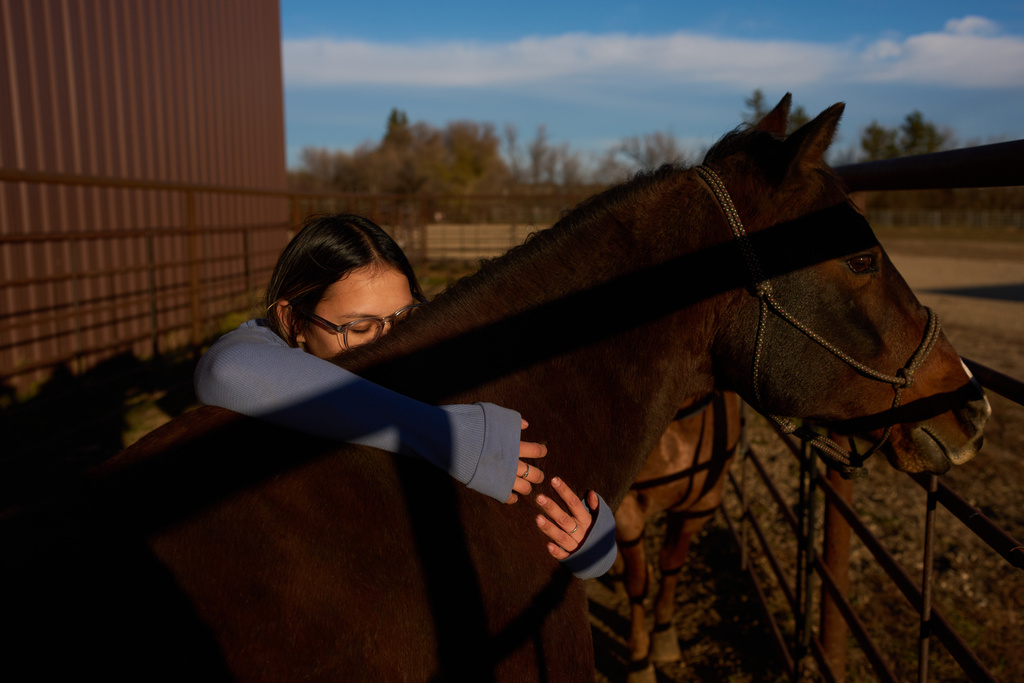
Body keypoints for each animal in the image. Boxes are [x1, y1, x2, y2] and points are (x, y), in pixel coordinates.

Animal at [613, 391, 741, 682]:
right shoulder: (627, 512)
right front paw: (640, 660)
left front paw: (663, 634)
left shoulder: (698, 506)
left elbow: (670, 564)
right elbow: (638, 581)